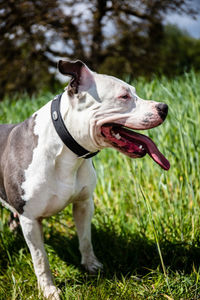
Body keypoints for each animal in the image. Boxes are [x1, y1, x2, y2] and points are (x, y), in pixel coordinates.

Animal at [0, 59, 170, 298]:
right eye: (124, 96)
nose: (164, 107)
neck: (64, 149)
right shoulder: (30, 219)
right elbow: (40, 259)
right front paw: (48, 289)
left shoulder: (83, 203)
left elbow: (86, 239)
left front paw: (92, 266)